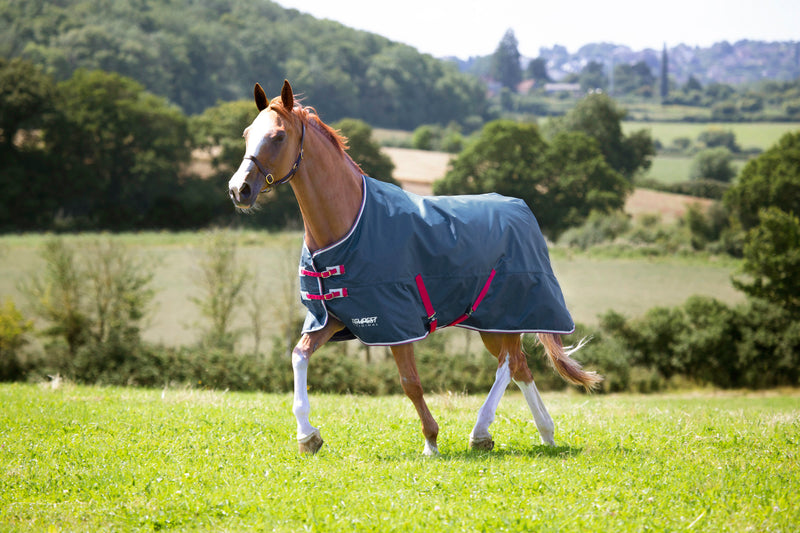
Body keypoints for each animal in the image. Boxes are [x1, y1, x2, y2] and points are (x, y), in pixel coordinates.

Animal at [228, 80, 602, 456]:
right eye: (246, 134)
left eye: (277, 136)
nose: (238, 189)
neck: (349, 224)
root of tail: (523, 212)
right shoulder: (331, 318)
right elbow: (299, 355)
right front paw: (308, 437)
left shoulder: (397, 322)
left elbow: (410, 382)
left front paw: (431, 441)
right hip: (494, 323)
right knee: (519, 366)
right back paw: (545, 433)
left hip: (508, 313)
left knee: (507, 365)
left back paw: (482, 432)